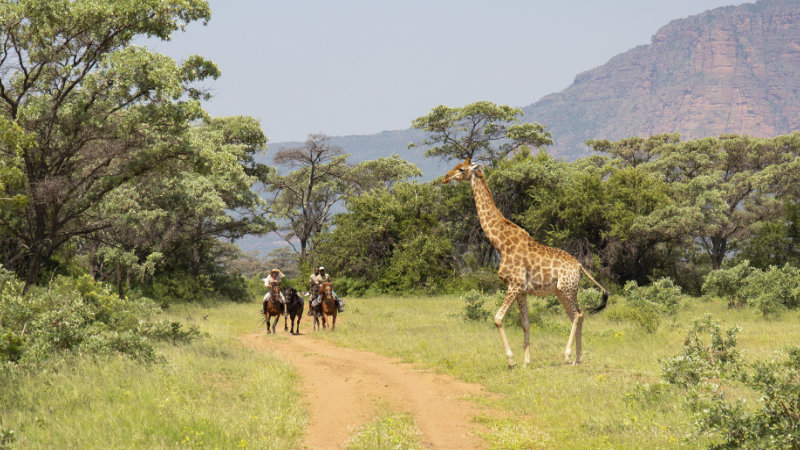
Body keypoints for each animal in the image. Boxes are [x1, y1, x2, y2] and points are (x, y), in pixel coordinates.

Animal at [444, 157, 608, 366]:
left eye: (462, 169)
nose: (445, 178)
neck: (500, 243)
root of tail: (579, 265)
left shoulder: (514, 285)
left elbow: (498, 318)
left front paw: (511, 360)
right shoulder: (521, 290)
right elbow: (525, 323)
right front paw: (526, 361)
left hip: (566, 288)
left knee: (578, 314)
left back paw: (567, 355)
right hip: (563, 291)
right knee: (577, 315)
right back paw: (578, 359)